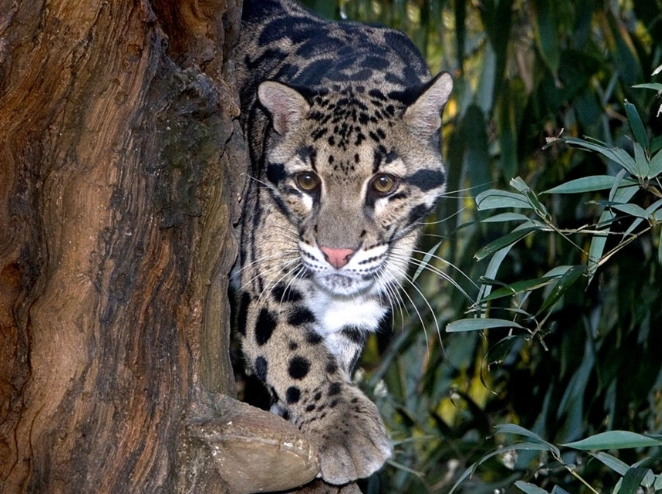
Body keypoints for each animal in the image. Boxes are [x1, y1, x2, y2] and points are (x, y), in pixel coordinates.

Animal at [233, 0, 452, 486]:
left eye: (384, 183)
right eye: (307, 181)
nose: (337, 254)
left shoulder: (367, 292)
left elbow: (335, 347)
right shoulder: (263, 272)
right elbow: (295, 347)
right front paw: (343, 428)